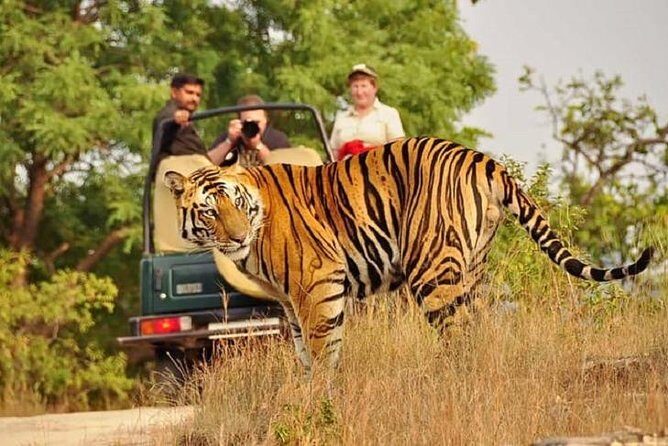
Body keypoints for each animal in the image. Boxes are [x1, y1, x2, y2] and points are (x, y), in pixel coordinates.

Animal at [163, 137, 653, 370]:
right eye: (209, 211)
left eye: (235, 203)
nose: (236, 237)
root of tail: (484, 159)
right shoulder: (289, 301)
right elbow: (305, 352)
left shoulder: (317, 284)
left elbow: (323, 352)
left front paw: (320, 401)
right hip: (472, 268)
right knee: (479, 329)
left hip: (432, 271)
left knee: (459, 336)